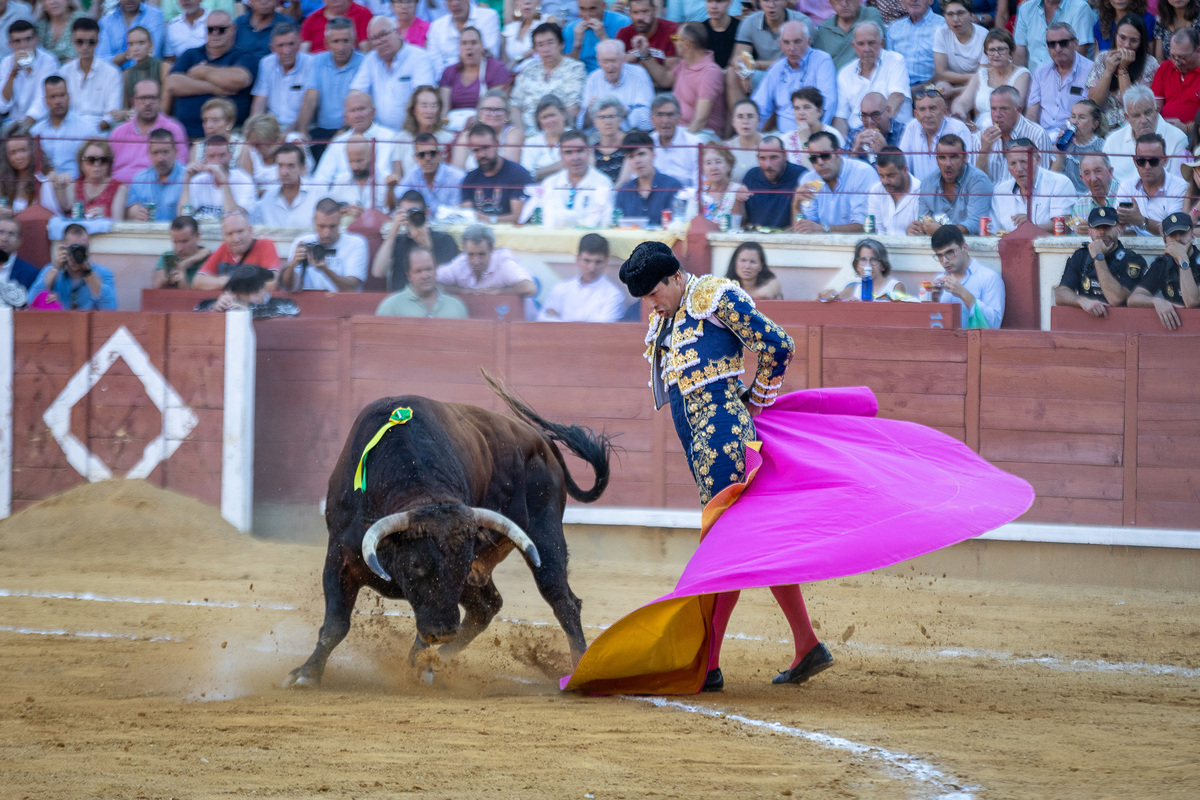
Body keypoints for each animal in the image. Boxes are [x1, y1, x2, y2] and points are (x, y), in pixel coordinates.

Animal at [284, 376, 614, 690]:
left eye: (462, 565)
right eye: (415, 564)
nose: (443, 633)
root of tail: (542, 441)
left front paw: (420, 665)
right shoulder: (340, 556)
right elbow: (335, 624)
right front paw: (306, 674)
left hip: (546, 537)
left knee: (563, 601)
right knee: (486, 607)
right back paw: (437, 661)